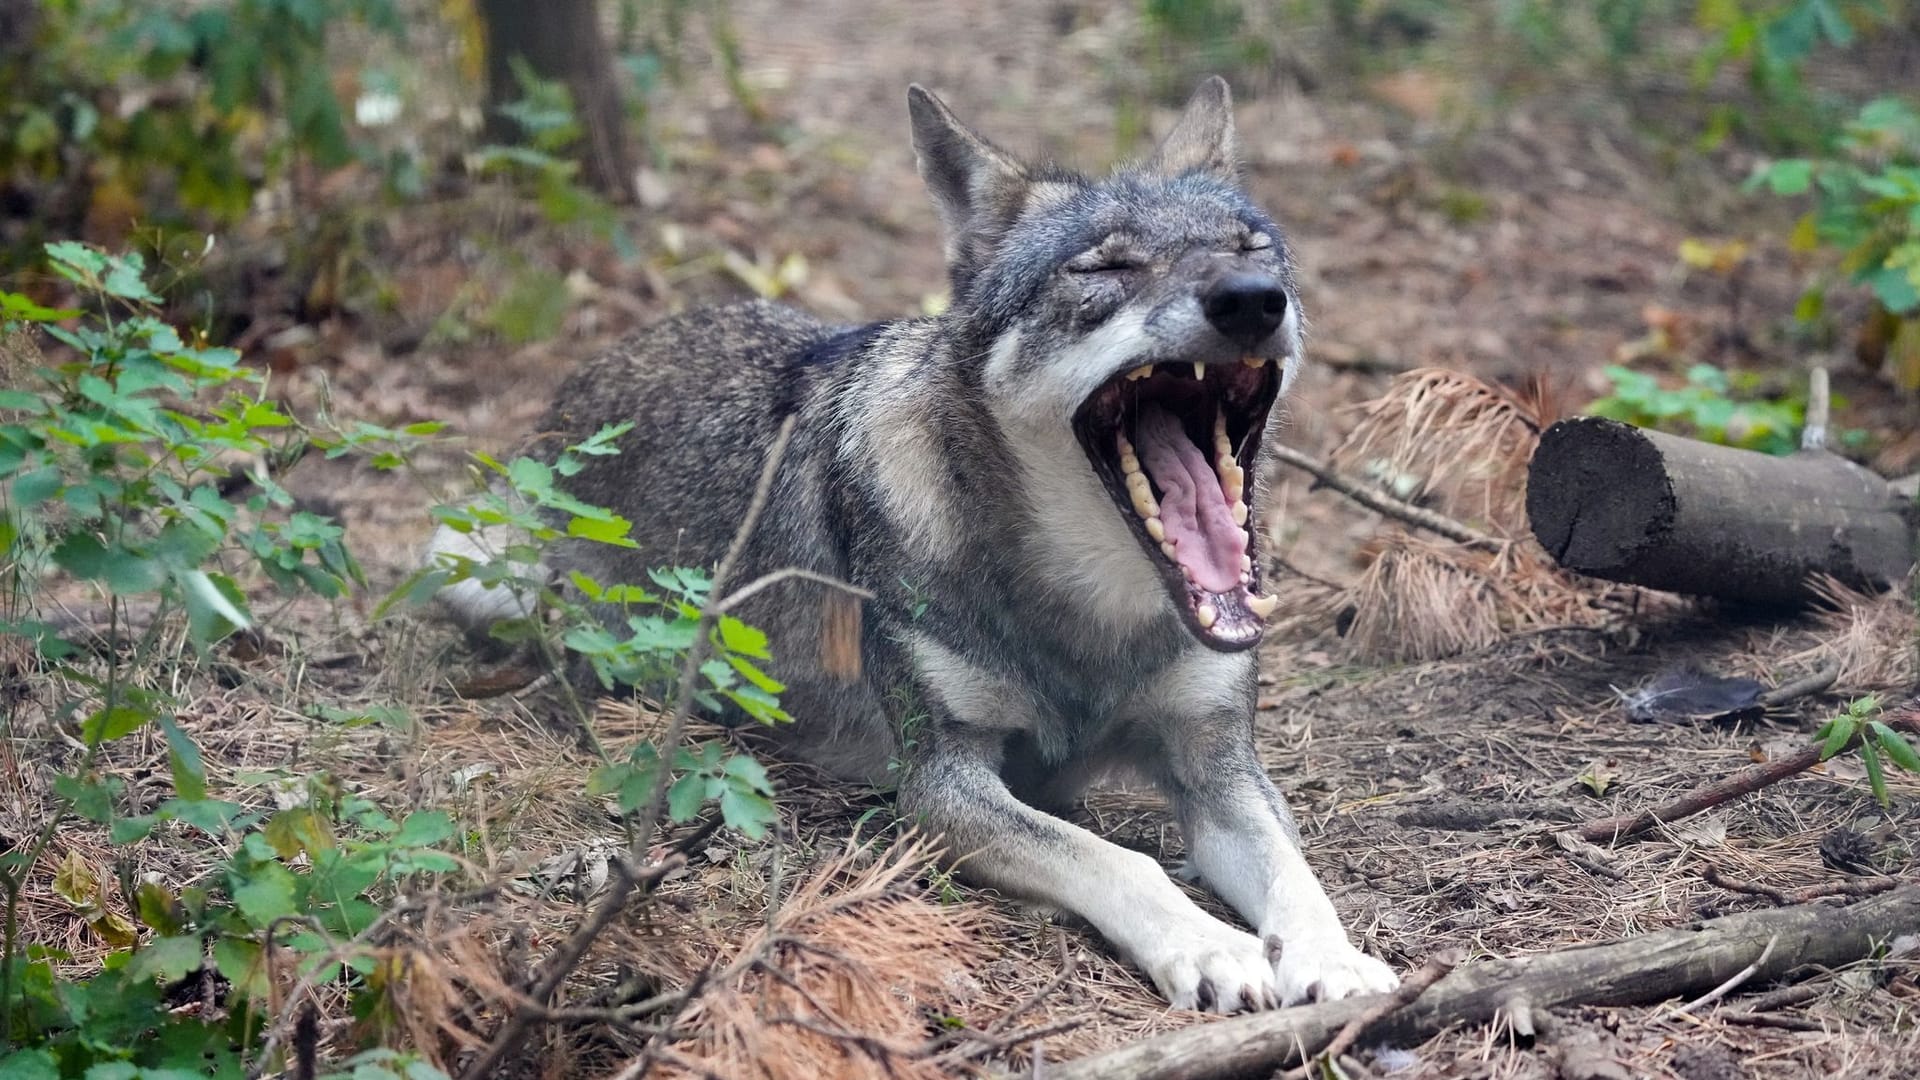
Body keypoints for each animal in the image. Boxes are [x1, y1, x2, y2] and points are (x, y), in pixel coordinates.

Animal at [428, 75, 1405, 1006]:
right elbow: (1116, 859)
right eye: (1108, 266)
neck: (1089, 614)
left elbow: (1297, 874)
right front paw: (1211, 945)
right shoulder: (941, 784)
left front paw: (1337, 962)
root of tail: (590, 370)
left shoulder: (1220, 770)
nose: (1252, 302)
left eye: (1254, 250)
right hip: (484, 575)